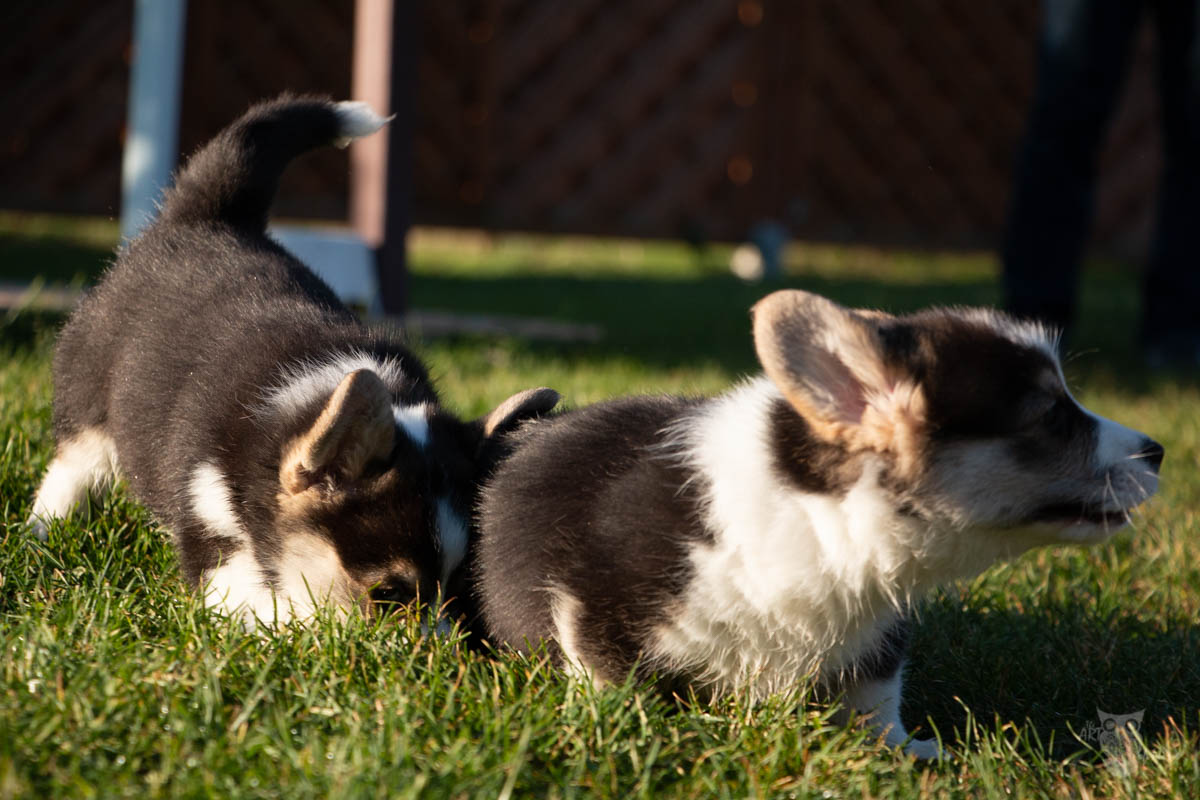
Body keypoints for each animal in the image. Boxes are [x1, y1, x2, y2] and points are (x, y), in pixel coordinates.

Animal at [28, 95, 558, 625]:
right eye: (389, 596)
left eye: (460, 593)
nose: (441, 646)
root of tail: (208, 218)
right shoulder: (212, 535)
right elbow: (262, 594)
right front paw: (298, 625)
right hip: (87, 408)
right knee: (72, 470)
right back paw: (43, 530)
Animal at [474, 289, 1163, 757]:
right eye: (1051, 415)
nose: (1157, 452)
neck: (818, 516)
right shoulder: (593, 596)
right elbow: (611, 677)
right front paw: (628, 732)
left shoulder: (880, 630)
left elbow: (877, 698)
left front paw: (902, 752)